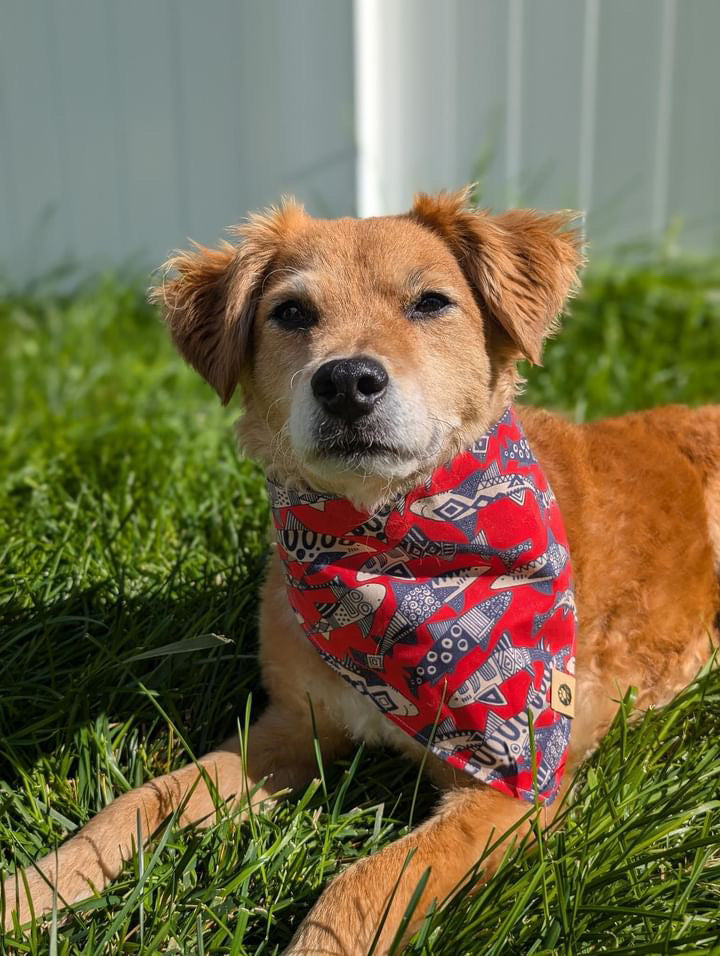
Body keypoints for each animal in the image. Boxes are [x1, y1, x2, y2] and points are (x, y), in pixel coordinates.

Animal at [5, 190, 720, 952]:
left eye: (432, 302)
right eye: (291, 312)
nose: (347, 380)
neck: (389, 560)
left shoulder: (513, 785)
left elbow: (368, 881)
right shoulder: (295, 727)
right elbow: (143, 798)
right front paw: (36, 889)